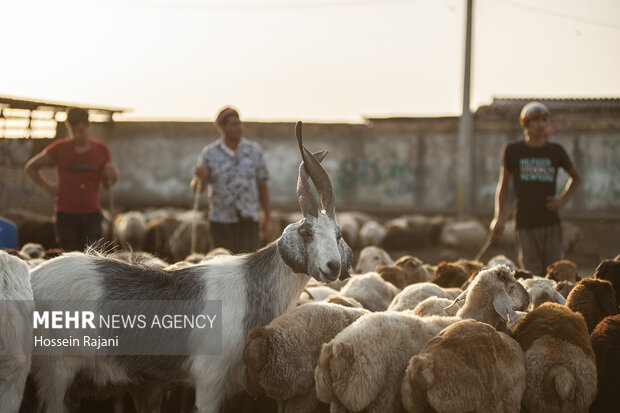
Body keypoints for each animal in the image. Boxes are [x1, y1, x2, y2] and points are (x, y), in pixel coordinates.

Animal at [25, 122, 354, 412]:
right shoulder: (209, 379)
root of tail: (33, 278)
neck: (251, 287)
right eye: (307, 232)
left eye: (338, 234)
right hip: (56, 370)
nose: (332, 266)